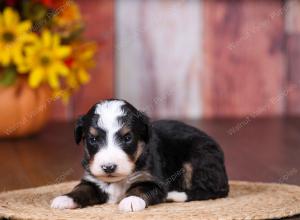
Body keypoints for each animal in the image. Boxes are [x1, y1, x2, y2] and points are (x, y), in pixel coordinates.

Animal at [51, 99, 230, 211]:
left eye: (127, 138)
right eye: (93, 139)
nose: (108, 167)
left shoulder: (154, 181)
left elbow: (141, 188)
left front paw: (131, 200)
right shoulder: (92, 179)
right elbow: (81, 188)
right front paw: (65, 199)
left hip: (199, 157)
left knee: (212, 191)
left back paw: (174, 195)